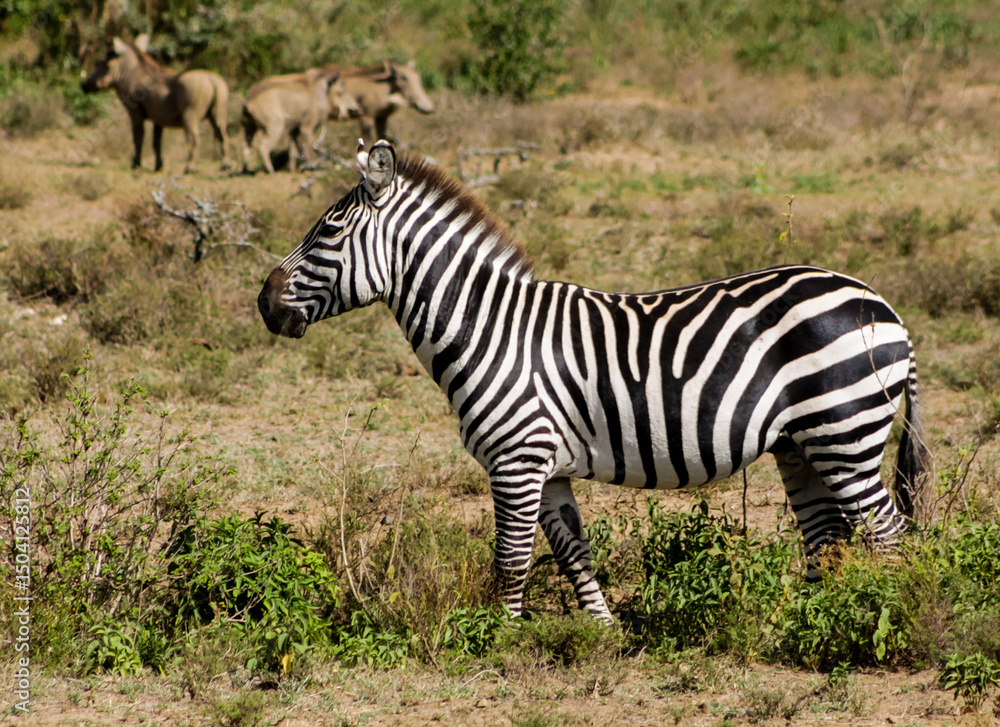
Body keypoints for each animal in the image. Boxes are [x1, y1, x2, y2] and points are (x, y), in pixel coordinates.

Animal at [258, 140, 931, 623]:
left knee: (890, 534)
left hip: (845, 432)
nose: (263, 303)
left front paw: (501, 642)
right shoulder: (547, 467)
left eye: (329, 232)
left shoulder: (516, 460)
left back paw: (887, 623)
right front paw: (602, 635)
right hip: (802, 445)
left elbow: (511, 559)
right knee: (828, 539)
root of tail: (882, 305)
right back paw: (812, 625)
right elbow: (573, 554)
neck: (489, 331)